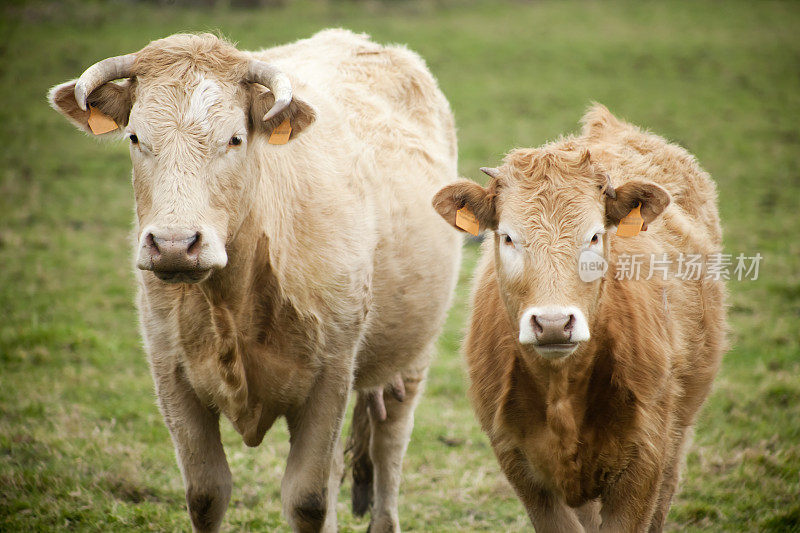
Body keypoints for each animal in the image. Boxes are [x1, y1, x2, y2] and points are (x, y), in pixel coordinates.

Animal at [50, 30, 460, 532]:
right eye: (134, 137)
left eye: (234, 138)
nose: (174, 244)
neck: (232, 303)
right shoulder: (170, 374)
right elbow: (206, 494)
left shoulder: (331, 375)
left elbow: (307, 499)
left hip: (411, 358)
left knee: (389, 449)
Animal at [434, 105, 728, 532]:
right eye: (507, 237)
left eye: (593, 236)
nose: (553, 323)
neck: (561, 391)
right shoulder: (519, 465)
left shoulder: (646, 460)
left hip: (678, 432)